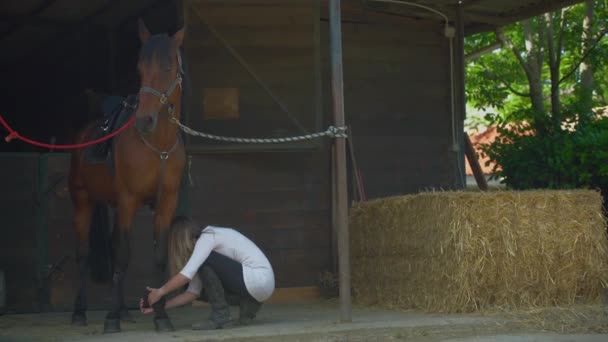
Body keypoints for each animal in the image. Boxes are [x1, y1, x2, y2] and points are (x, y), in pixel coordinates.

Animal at [67, 19, 185, 334]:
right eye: (140, 68)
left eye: (167, 67)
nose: (145, 120)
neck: (158, 147)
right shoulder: (129, 200)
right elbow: (122, 255)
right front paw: (110, 319)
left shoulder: (166, 203)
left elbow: (158, 257)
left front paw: (161, 315)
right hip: (83, 202)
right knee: (83, 256)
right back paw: (81, 312)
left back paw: (123, 311)